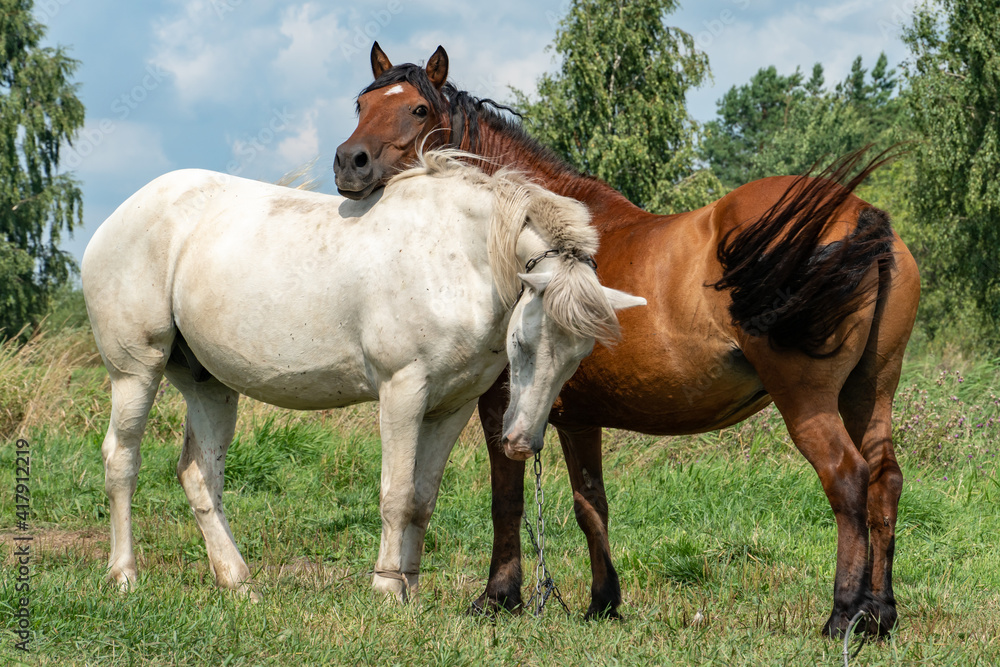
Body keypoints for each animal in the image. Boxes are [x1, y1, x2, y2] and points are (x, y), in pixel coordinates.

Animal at [81, 150, 645, 603]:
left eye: (576, 358)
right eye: (523, 344)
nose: (522, 445)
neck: (456, 256)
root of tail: (118, 217)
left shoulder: (451, 406)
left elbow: (421, 500)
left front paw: (410, 586)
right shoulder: (402, 391)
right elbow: (395, 494)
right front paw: (385, 588)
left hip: (209, 387)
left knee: (200, 476)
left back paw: (238, 582)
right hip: (136, 371)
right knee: (122, 461)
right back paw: (125, 576)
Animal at [333, 43, 921, 638]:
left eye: (418, 110)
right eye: (361, 103)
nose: (349, 162)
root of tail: (861, 216)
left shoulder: (504, 405)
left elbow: (509, 499)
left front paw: (499, 597)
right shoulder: (576, 417)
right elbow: (590, 503)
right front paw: (602, 602)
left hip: (808, 399)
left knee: (847, 478)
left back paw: (843, 616)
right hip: (870, 391)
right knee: (884, 480)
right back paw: (880, 613)